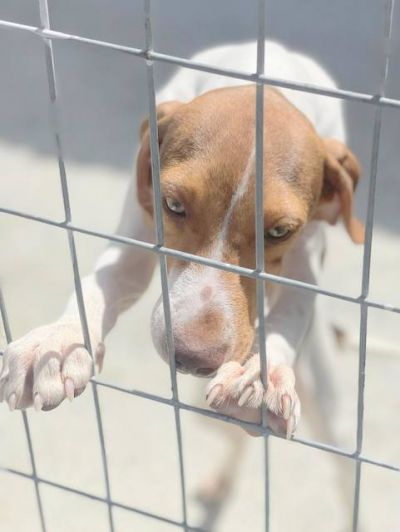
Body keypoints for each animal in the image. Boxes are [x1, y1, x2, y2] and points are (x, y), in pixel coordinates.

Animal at [0, 41, 364, 443]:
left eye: (279, 232)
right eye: (172, 204)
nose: (192, 360)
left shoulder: (305, 267)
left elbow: (290, 314)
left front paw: (261, 378)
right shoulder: (134, 238)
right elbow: (100, 281)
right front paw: (58, 342)